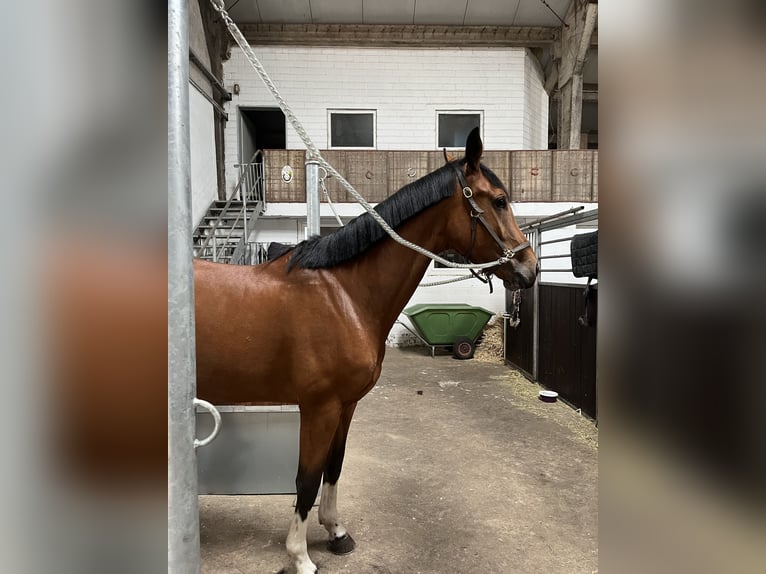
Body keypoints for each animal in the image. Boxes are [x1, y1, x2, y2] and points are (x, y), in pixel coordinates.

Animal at [194, 128, 538, 574]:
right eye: (498, 200)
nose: (530, 268)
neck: (345, 295)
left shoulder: (346, 404)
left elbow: (334, 467)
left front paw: (336, 532)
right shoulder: (319, 407)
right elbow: (307, 478)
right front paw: (300, 555)